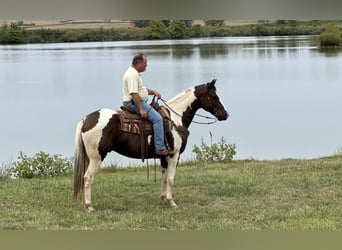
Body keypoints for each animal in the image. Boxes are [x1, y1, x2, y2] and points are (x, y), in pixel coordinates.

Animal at [73, 78, 228, 211]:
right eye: (213, 96)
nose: (225, 114)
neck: (175, 119)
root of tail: (86, 119)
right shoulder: (174, 155)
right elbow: (171, 178)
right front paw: (172, 202)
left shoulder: (164, 157)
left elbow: (164, 177)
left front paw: (164, 198)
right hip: (96, 158)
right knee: (87, 178)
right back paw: (89, 206)